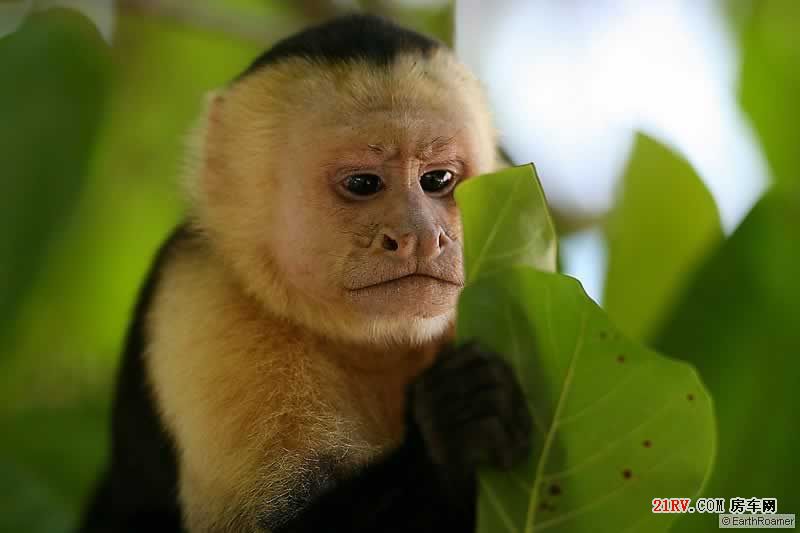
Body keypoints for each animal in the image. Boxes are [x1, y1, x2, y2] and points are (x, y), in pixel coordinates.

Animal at [79, 12, 532, 532]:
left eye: (438, 180)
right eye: (363, 183)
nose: (420, 236)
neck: (373, 349)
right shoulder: (200, 303)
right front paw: (453, 431)